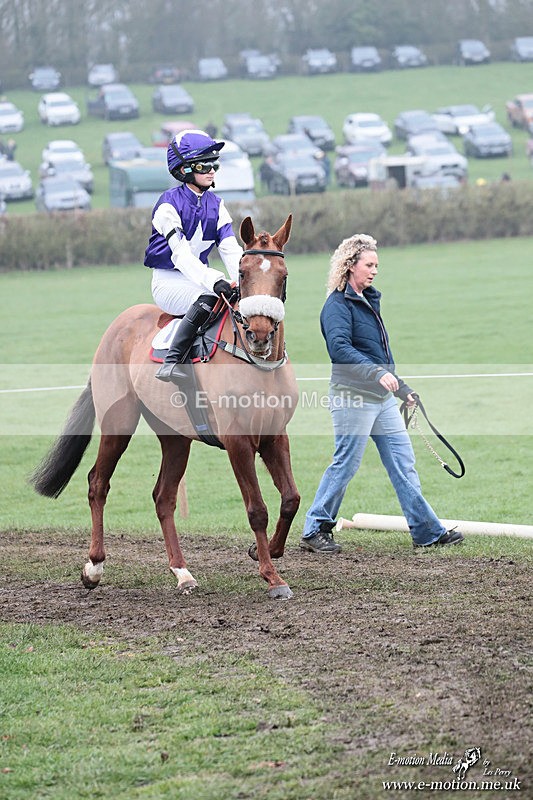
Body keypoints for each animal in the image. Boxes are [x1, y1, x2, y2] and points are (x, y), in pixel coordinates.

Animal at [30, 215, 300, 600]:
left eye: (283, 274)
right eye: (243, 272)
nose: (259, 335)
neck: (257, 364)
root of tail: (115, 328)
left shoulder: (275, 435)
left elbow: (291, 498)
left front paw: (265, 552)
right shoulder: (238, 442)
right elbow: (257, 510)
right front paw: (272, 577)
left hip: (175, 436)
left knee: (163, 497)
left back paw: (182, 572)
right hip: (118, 422)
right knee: (98, 482)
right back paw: (94, 567)